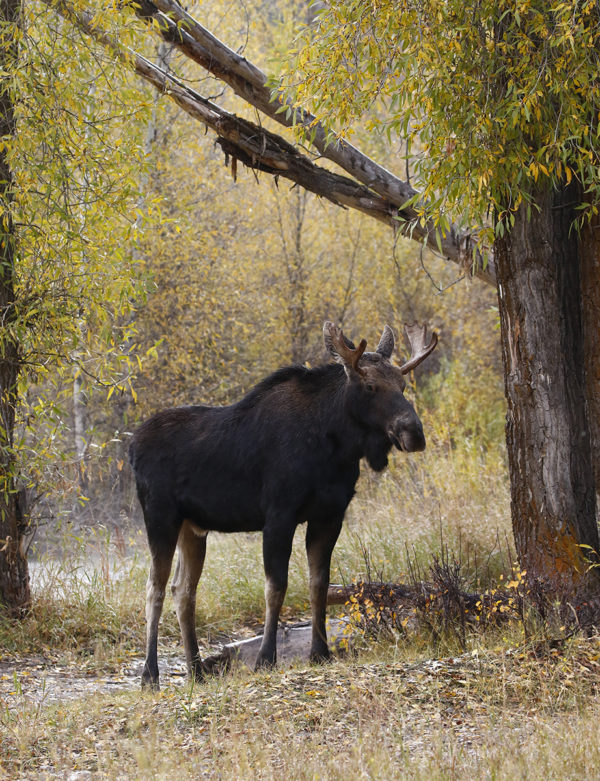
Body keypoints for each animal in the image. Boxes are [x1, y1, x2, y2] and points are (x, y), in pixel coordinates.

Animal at [130, 320, 436, 684]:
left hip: (193, 528)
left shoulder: (329, 516)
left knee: (183, 590)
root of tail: (131, 446)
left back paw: (196, 671)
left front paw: (320, 652)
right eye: (371, 386)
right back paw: (150, 674)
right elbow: (276, 587)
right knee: (154, 589)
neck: (337, 446)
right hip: (160, 517)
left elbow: (319, 583)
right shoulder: (279, 515)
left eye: (402, 384)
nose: (414, 433)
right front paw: (266, 658)